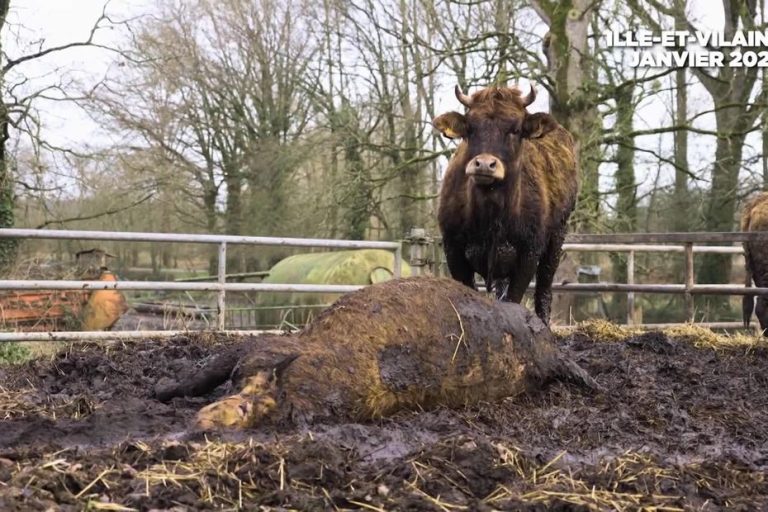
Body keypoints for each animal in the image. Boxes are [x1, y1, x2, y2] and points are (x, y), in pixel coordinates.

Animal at [434, 84, 578, 325]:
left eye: (515, 129)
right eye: (470, 127)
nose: (484, 164)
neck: (490, 214)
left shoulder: (528, 254)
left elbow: (515, 297)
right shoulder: (453, 249)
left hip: (557, 237)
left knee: (544, 289)